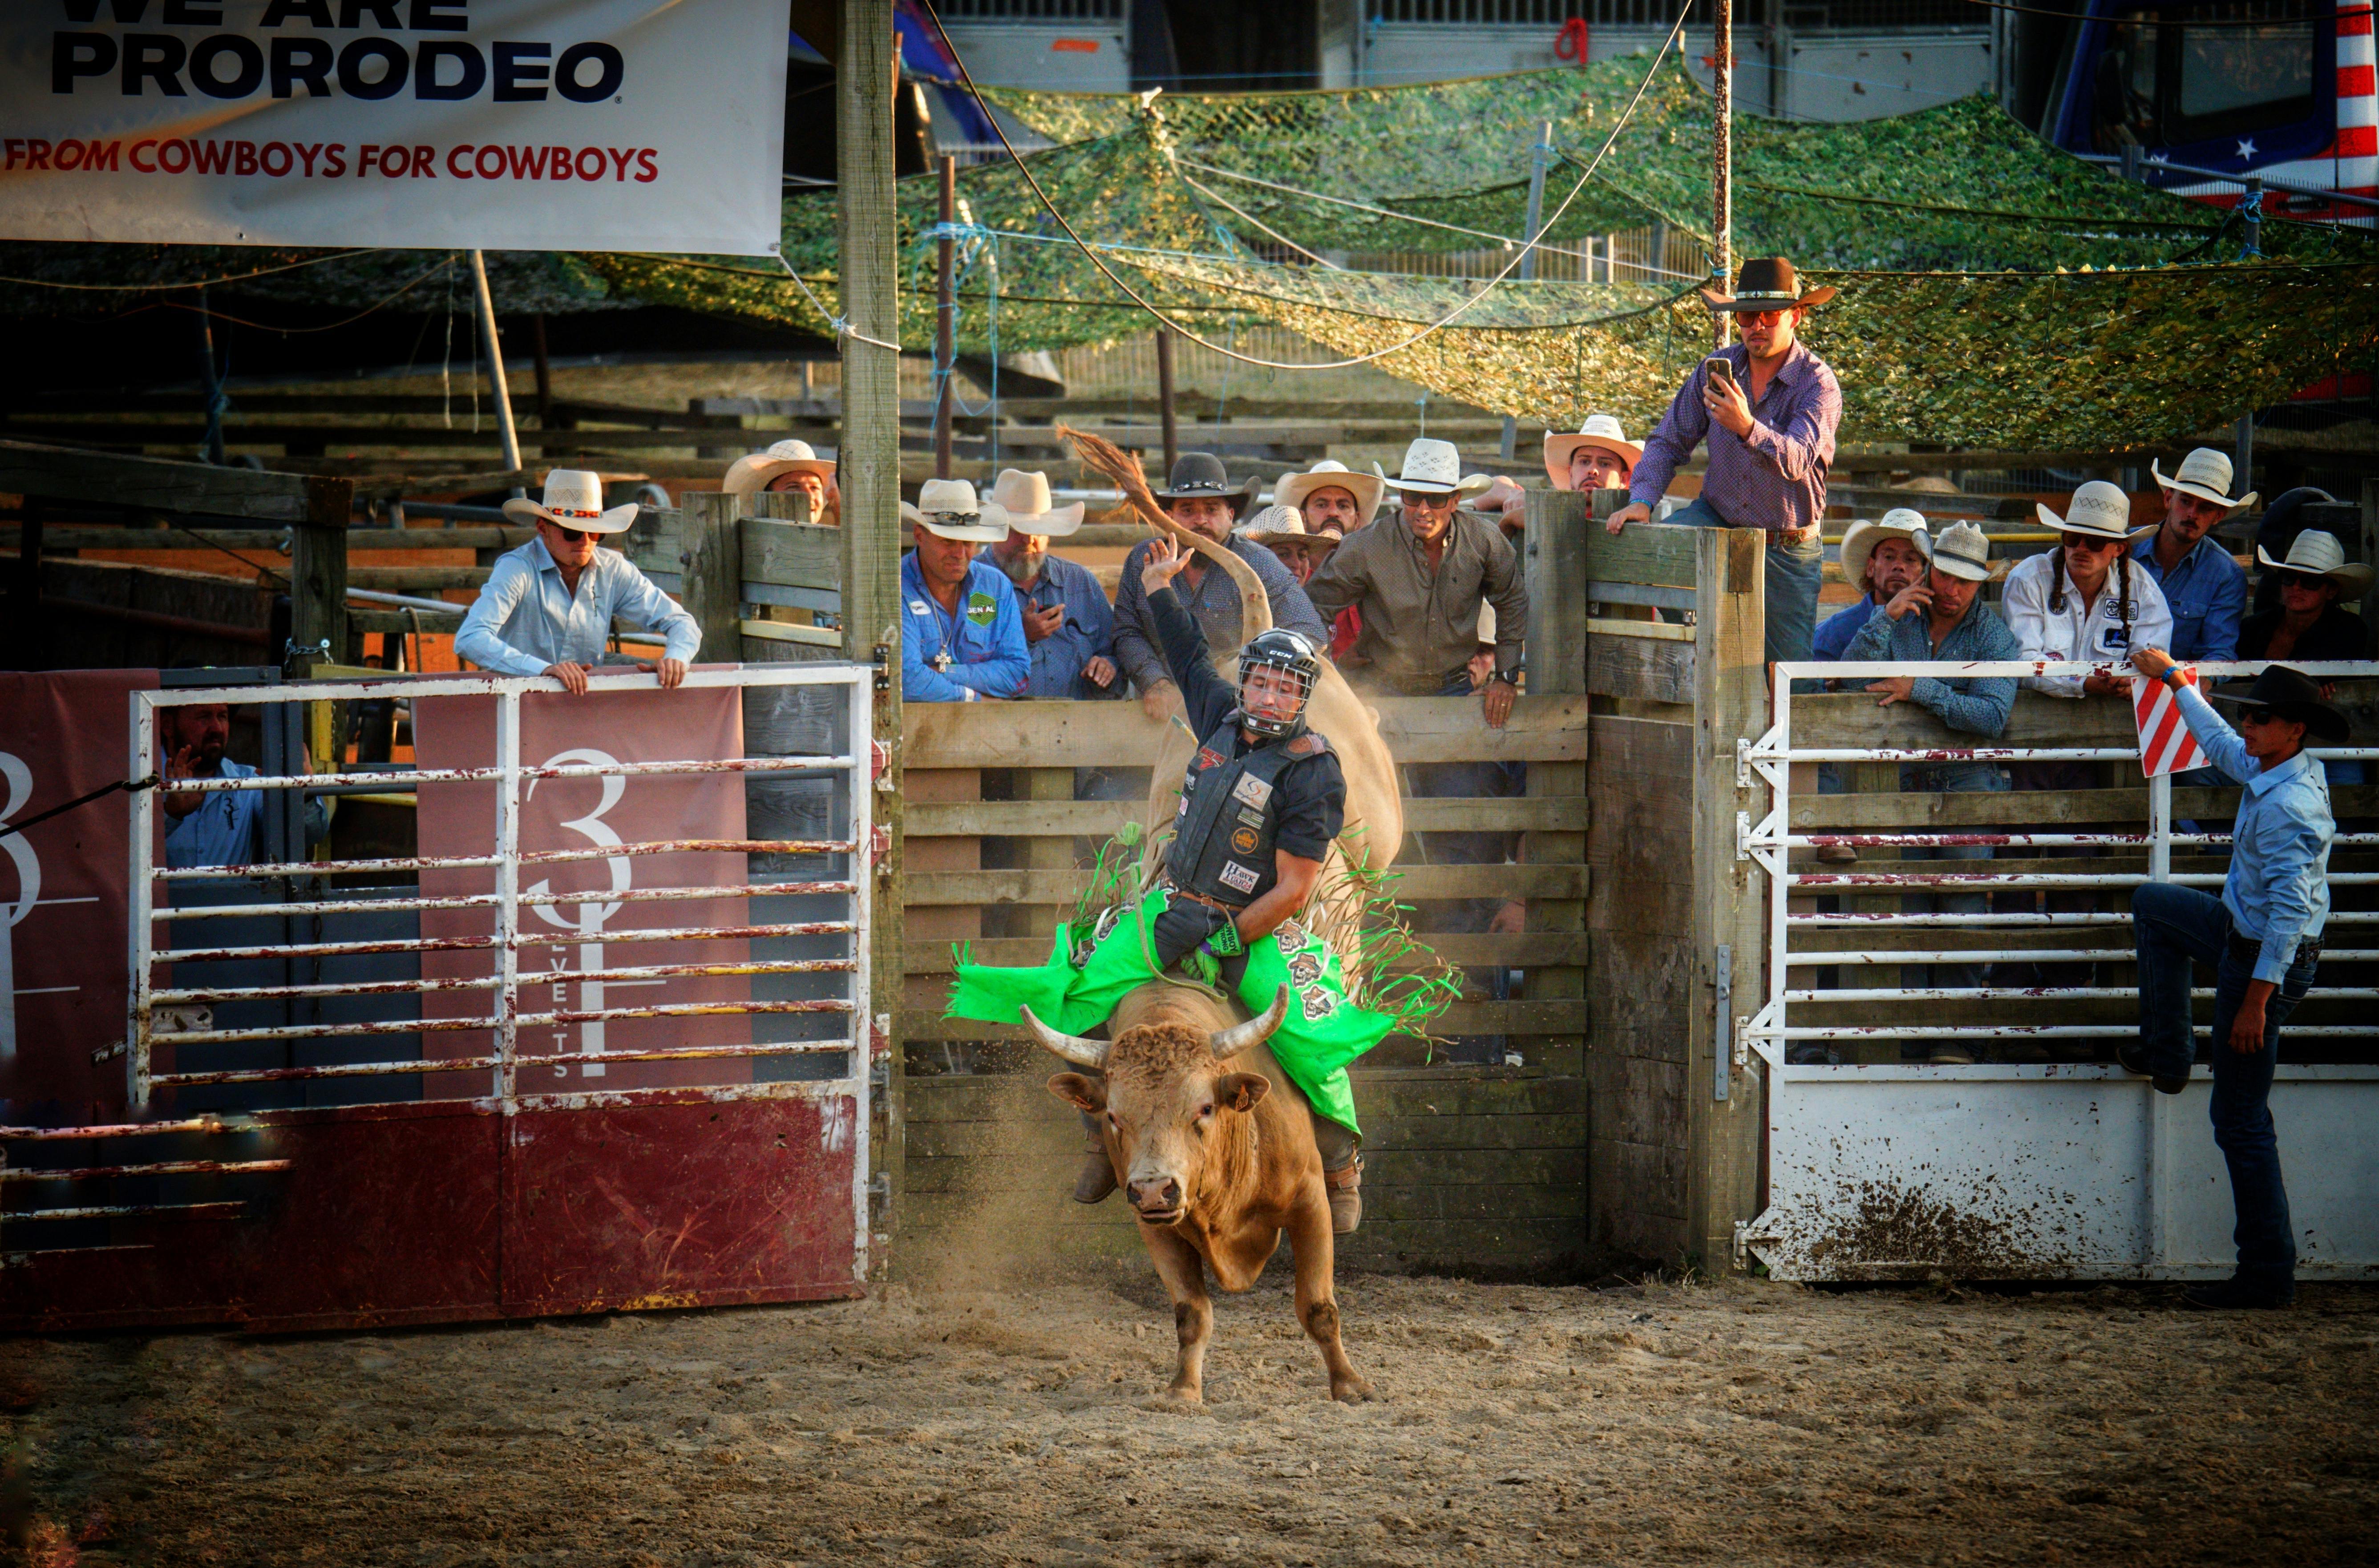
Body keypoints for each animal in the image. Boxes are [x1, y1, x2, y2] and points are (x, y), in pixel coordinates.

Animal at [1022, 982, 1373, 1405]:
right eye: (1112, 1116)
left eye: (1205, 1108)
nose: (1154, 1189)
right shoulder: (1155, 1227)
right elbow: (1192, 1313)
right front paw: (1183, 1389)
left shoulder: (1310, 1202)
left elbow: (1319, 1307)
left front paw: (1350, 1384)